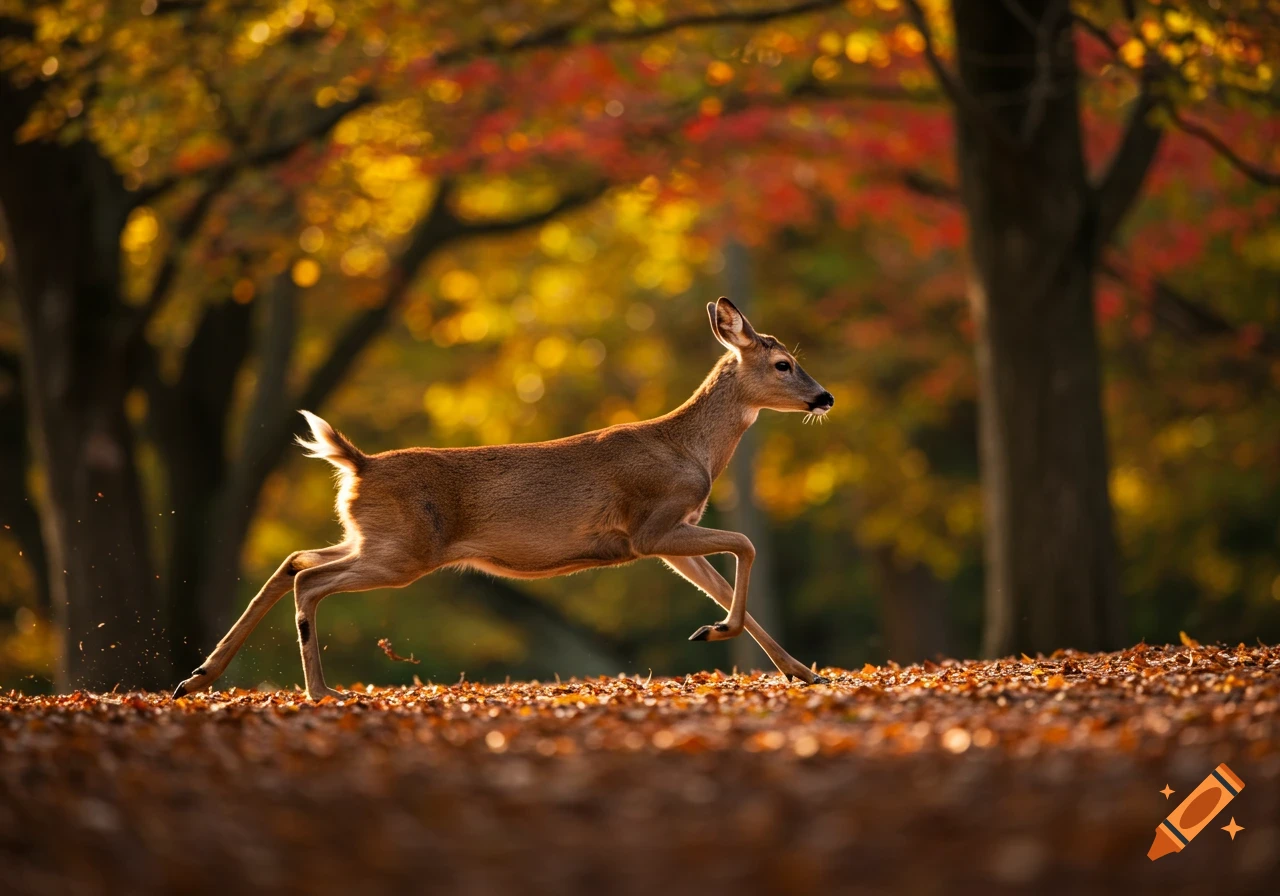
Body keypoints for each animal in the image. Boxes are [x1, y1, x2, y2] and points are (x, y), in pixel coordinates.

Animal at [172, 297, 835, 701]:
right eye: (784, 364)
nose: (824, 397)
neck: (690, 451)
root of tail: (358, 465)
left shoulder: (667, 537)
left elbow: (724, 584)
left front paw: (800, 670)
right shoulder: (652, 526)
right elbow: (746, 546)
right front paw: (715, 633)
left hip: (375, 536)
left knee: (294, 562)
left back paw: (198, 677)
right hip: (404, 551)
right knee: (309, 579)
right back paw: (317, 691)